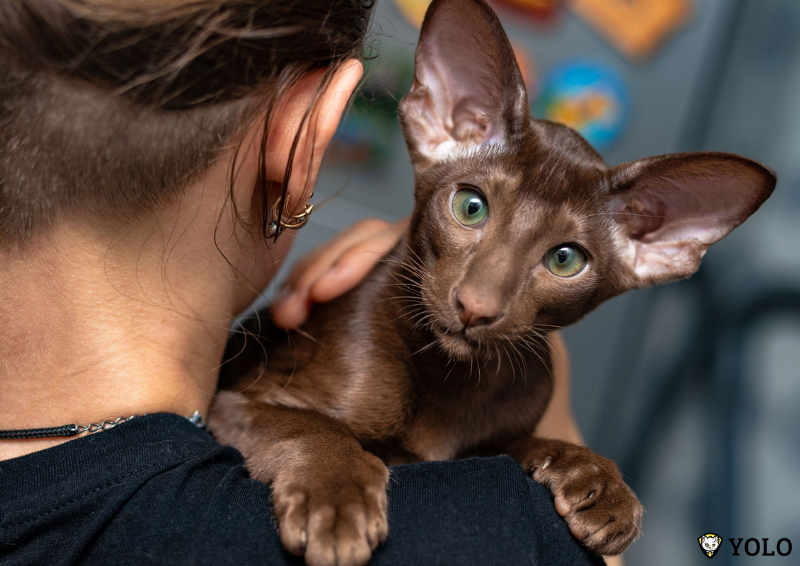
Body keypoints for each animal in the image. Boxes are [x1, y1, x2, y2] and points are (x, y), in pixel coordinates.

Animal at [206, 0, 776, 564]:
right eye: (470, 207)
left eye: (565, 260)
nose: (474, 308)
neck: (452, 381)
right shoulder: (234, 403)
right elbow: (312, 426)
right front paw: (336, 497)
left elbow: (513, 445)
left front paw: (597, 480)